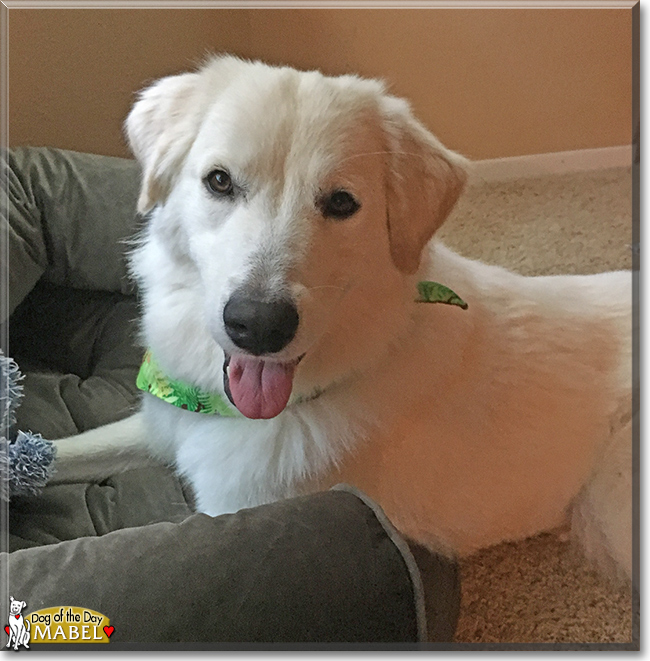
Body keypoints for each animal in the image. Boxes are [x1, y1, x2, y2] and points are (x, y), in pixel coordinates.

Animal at [53, 56, 632, 584]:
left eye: (340, 202)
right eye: (219, 182)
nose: (258, 325)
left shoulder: (228, 514)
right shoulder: (159, 428)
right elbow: (58, 451)